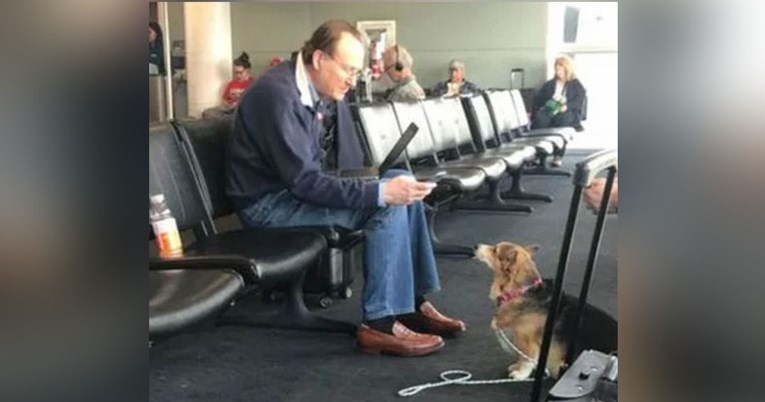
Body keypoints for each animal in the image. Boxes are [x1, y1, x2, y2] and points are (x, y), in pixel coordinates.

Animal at [474, 242, 616, 380]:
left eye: (494, 250)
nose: (475, 246)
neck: (519, 291)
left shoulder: (527, 342)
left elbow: (526, 360)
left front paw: (520, 374)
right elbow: (520, 358)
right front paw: (516, 367)